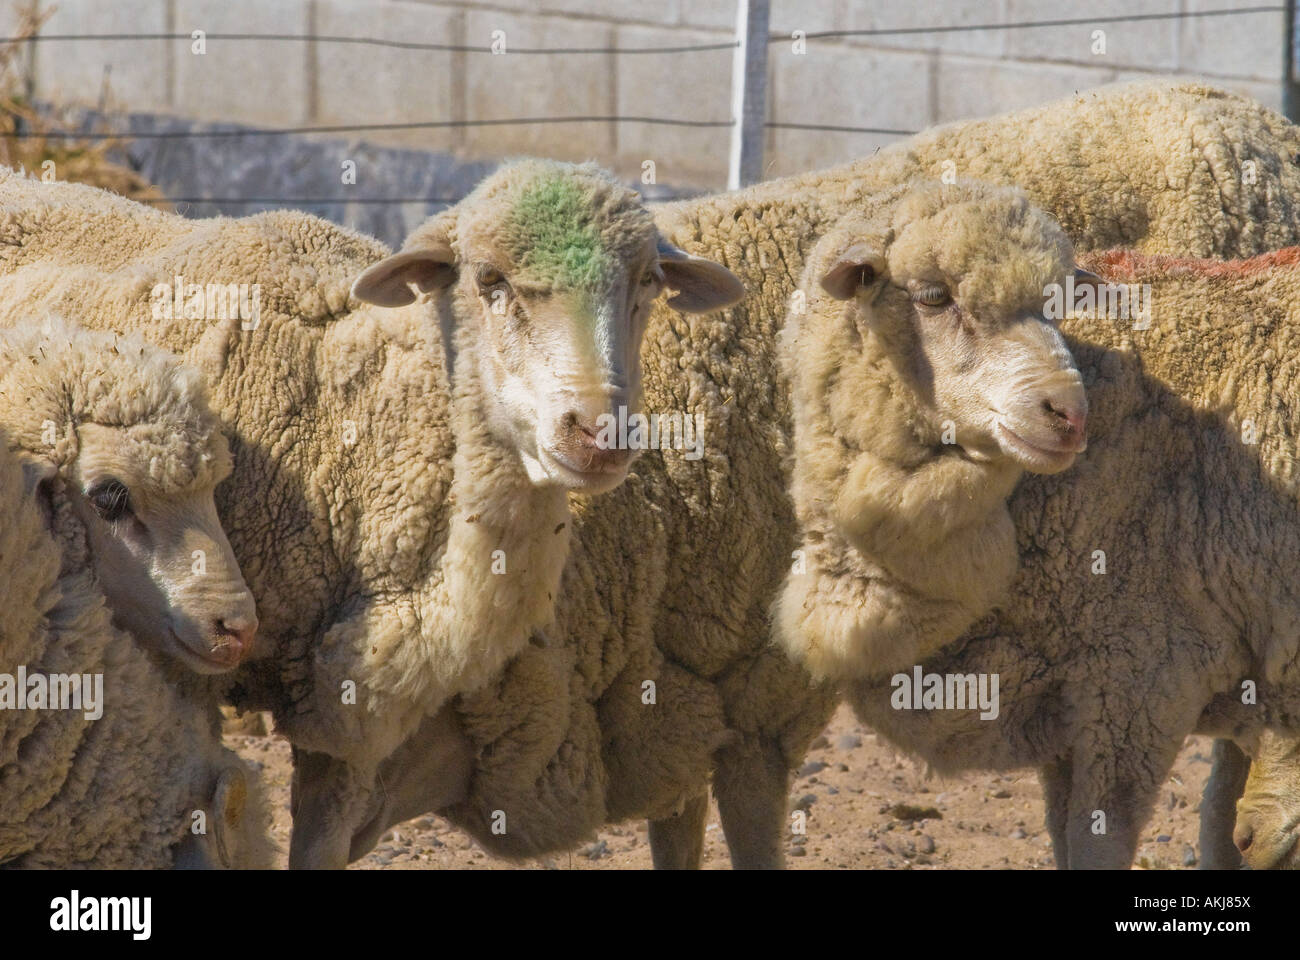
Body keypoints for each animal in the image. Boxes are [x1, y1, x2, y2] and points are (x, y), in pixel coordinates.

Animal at [777, 233, 1300, 869]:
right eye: (932, 297)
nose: (1065, 416)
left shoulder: (1141, 679)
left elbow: (1099, 839)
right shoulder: (1068, 706)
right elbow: (1060, 835)